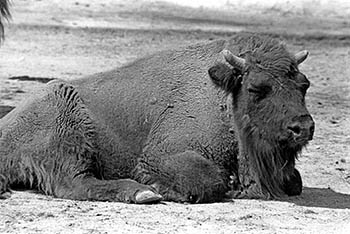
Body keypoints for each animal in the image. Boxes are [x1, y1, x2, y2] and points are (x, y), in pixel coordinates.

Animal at [0, 31, 314, 203]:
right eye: (256, 88)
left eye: (304, 84)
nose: (303, 127)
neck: (222, 95)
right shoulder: (160, 155)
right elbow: (209, 180)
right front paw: (159, 187)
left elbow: (294, 181)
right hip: (66, 123)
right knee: (75, 183)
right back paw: (142, 192)